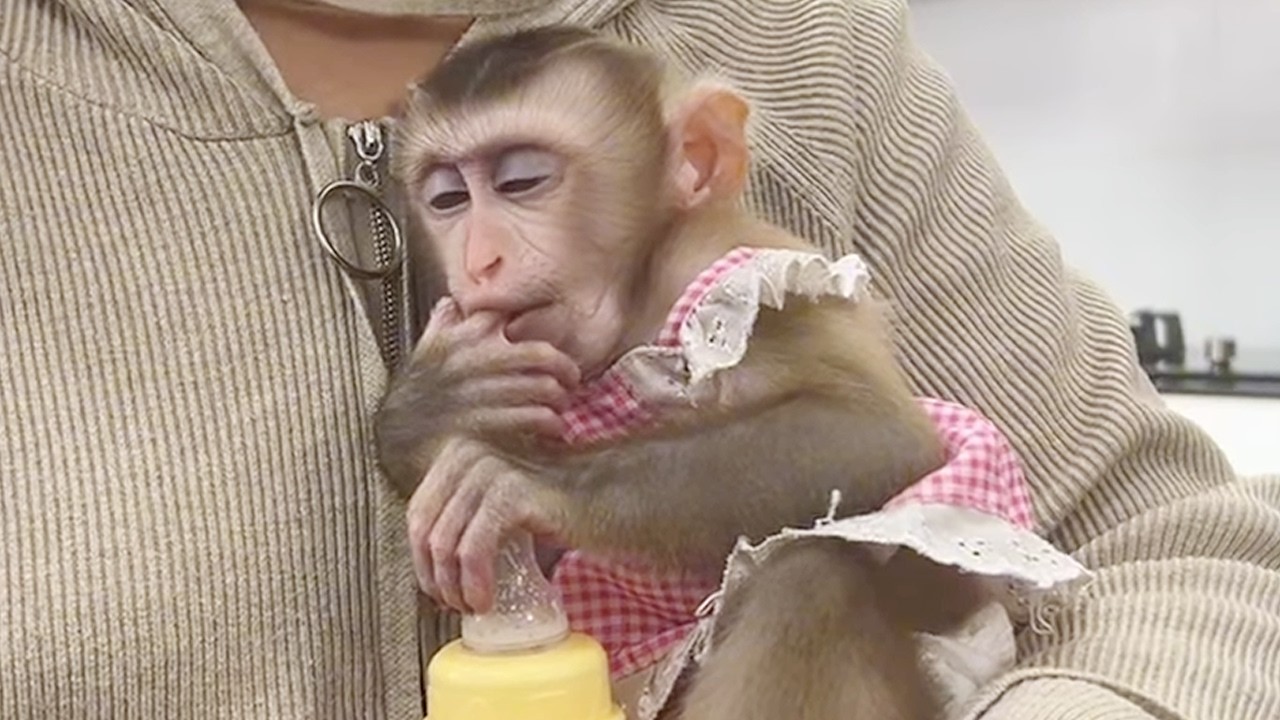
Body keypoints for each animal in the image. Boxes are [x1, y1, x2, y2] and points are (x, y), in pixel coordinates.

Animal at [375, 25, 987, 720]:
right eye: (447, 198)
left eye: (521, 181)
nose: (480, 262)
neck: (635, 300)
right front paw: (437, 404)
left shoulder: (740, 270)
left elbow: (877, 433)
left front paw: (524, 476)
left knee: (810, 577)